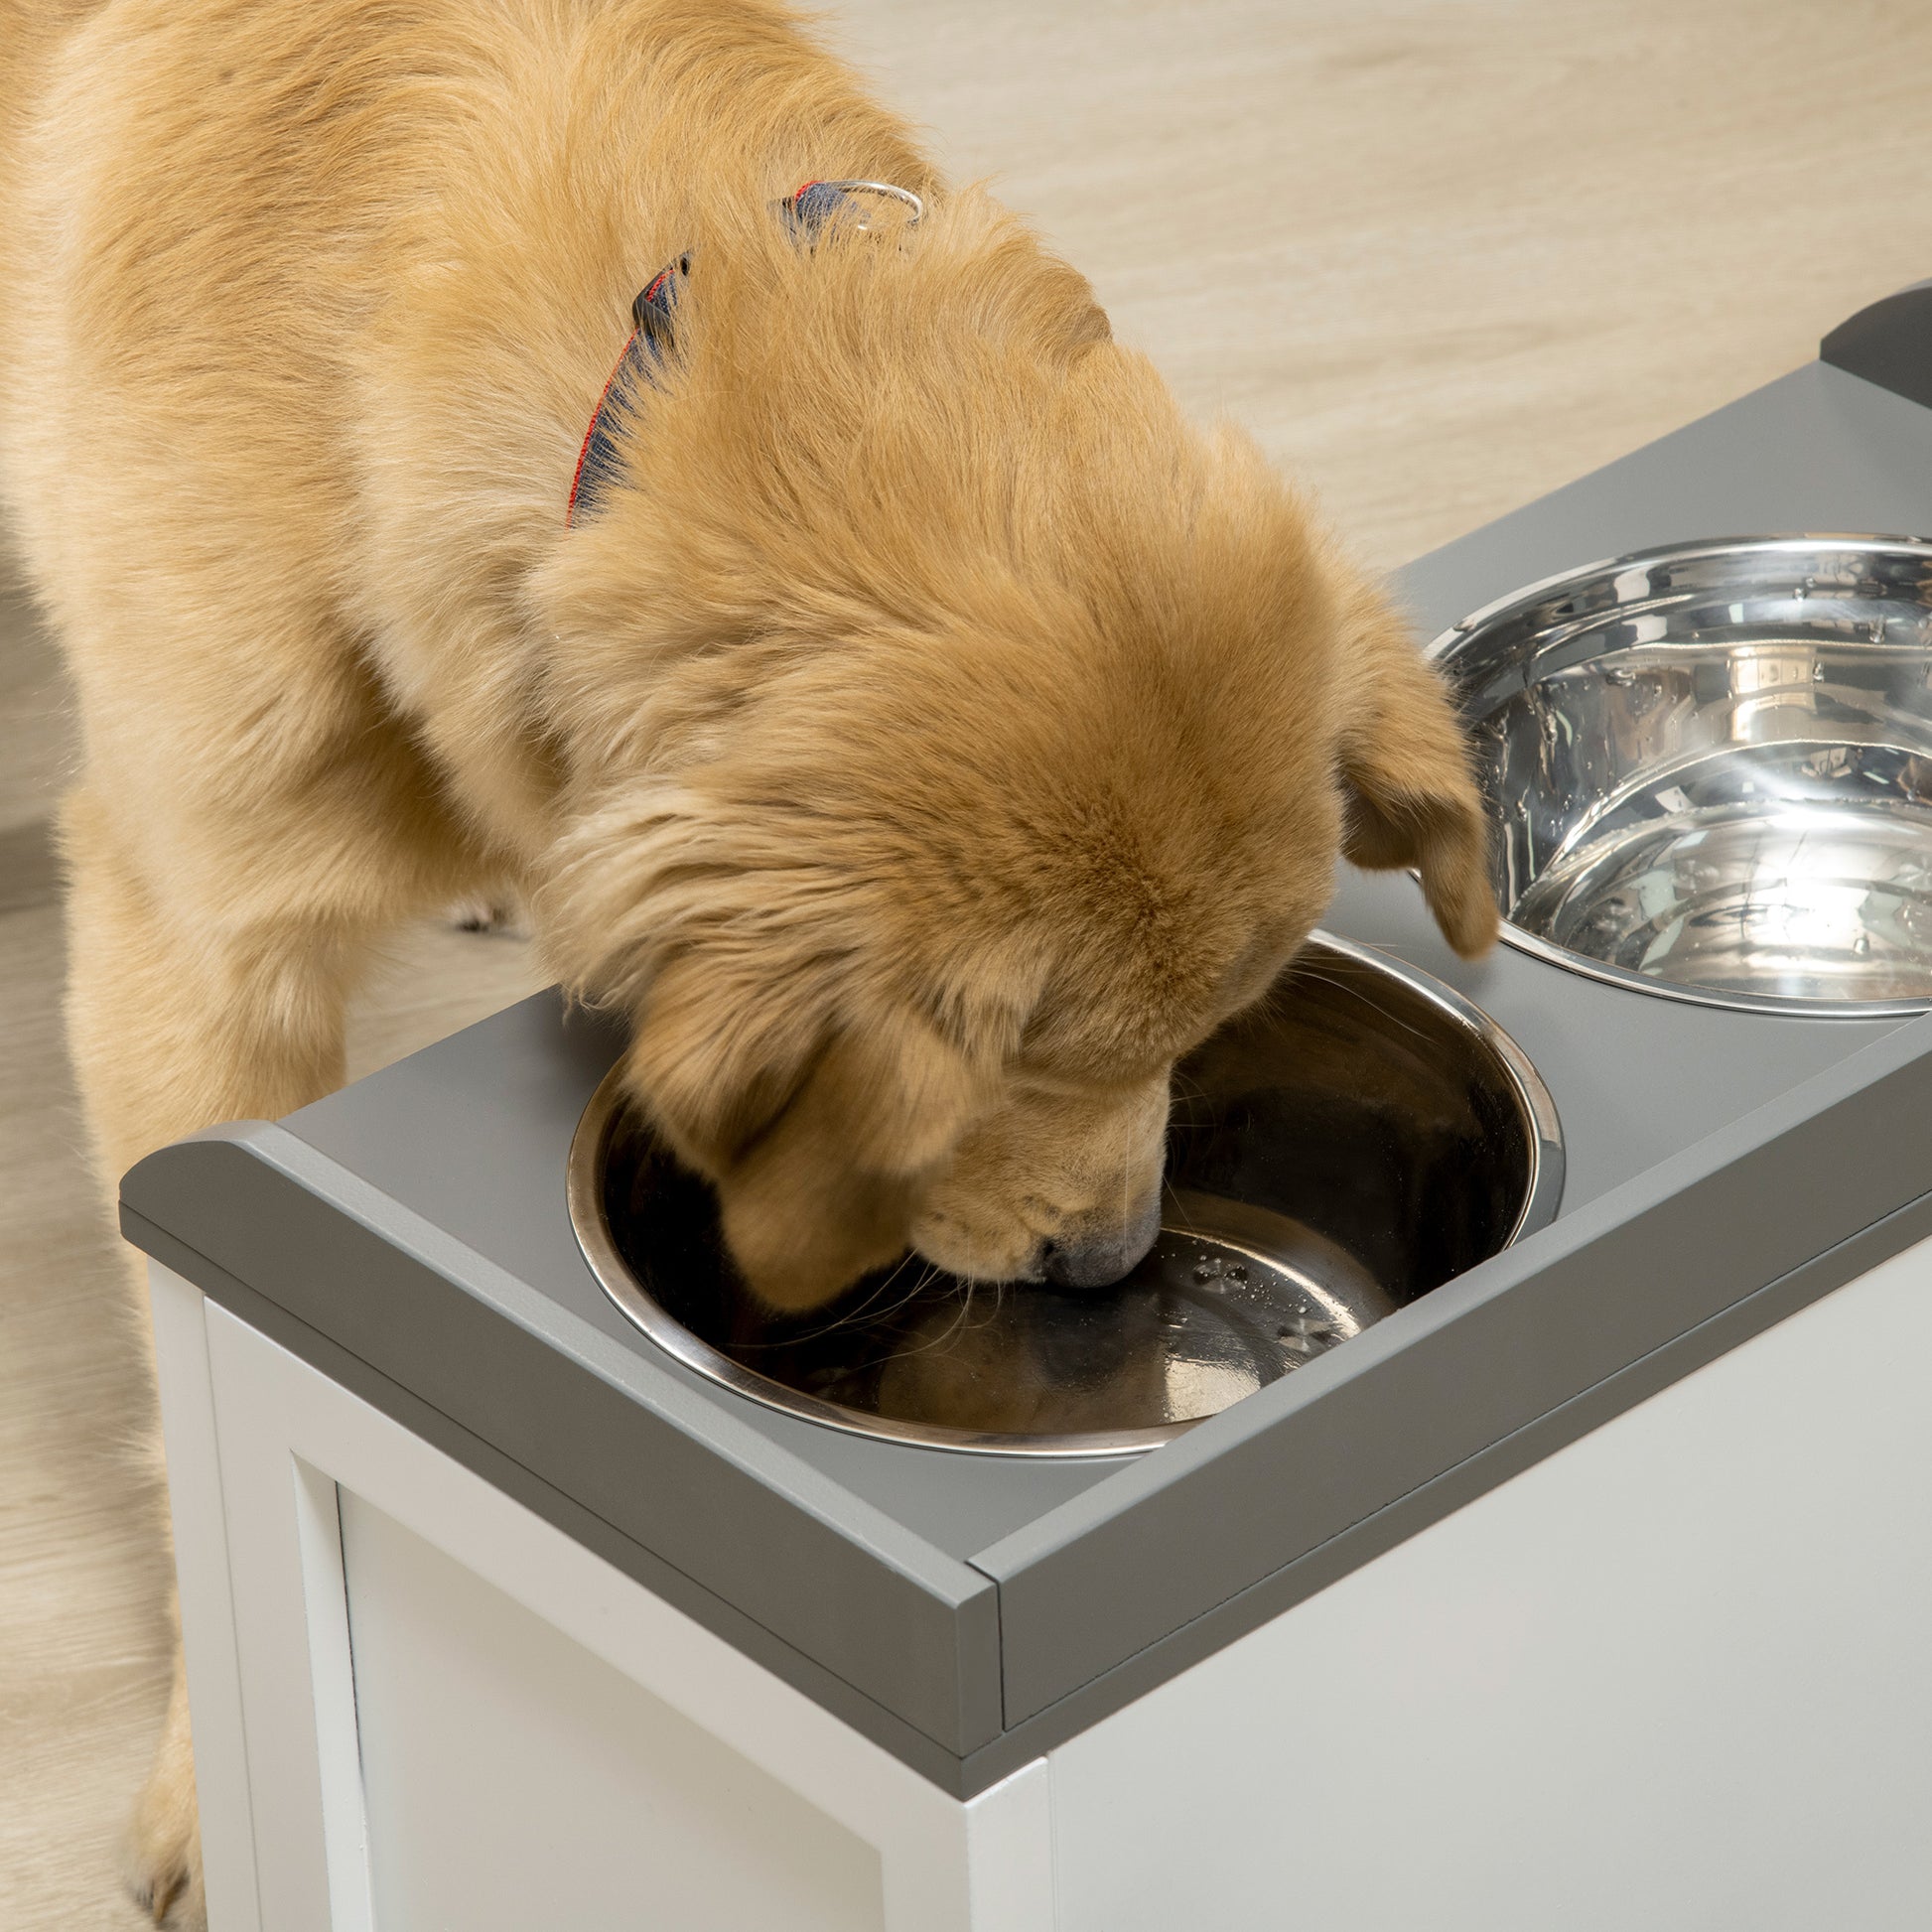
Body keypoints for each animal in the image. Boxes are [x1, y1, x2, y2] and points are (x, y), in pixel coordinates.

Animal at [0, 0, 1499, 1908]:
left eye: (1202, 1041)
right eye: (1022, 1063)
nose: (1108, 1264)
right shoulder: (193, 940)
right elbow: (188, 1406)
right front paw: (221, 1787)